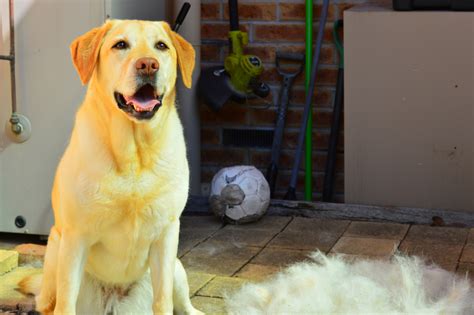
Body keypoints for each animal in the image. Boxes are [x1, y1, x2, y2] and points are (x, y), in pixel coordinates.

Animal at [20, 20, 202, 315]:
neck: (134, 155)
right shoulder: (75, 237)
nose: (148, 65)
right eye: (120, 45)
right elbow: (66, 302)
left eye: (161, 46)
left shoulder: (166, 234)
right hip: (55, 254)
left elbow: (163, 301)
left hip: (176, 268)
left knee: (184, 306)